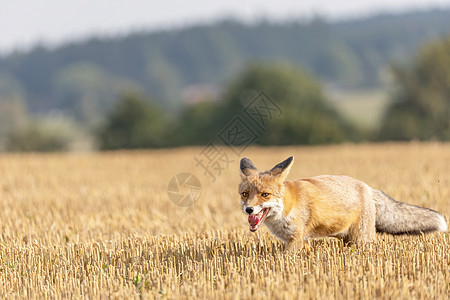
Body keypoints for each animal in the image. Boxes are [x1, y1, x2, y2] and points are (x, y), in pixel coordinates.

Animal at [239, 156, 446, 250]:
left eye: (265, 195)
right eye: (245, 194)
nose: (249, 209)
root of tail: (367, 187)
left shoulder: (296, 239)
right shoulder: (296, 240)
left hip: (362, 239)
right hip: (348, 239)